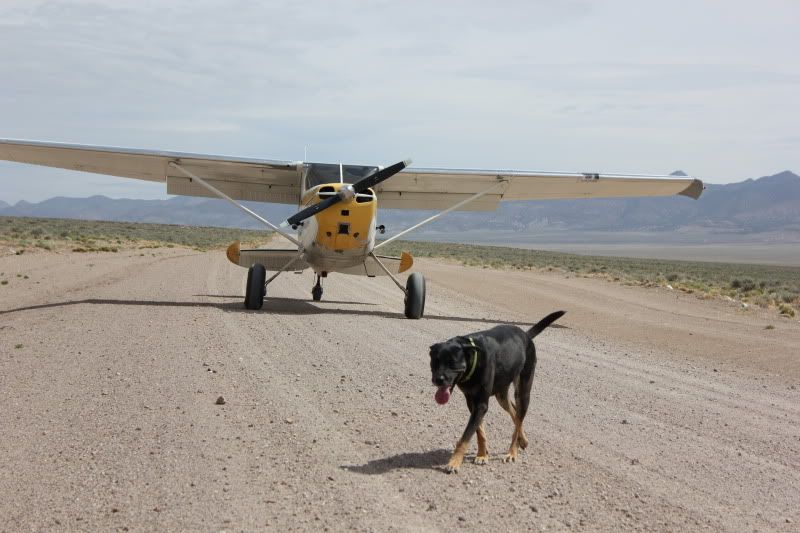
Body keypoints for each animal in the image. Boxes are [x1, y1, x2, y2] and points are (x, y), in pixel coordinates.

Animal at [429, 311, 565, 473]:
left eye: (452, 363)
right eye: (435, 361)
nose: (438, 379)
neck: (473, 358)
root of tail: (525, 336)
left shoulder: (481, 404)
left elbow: (466, 436)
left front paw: (454, 462)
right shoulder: (472, 401)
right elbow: (479, 432)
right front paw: (482, 455)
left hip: (523, 392)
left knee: (518, 421)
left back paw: (512, 452)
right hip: (501, 394)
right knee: (514, 411)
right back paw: (523, 440)